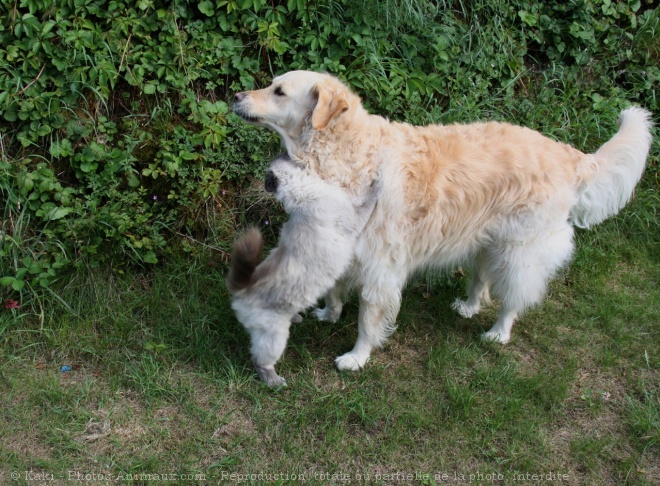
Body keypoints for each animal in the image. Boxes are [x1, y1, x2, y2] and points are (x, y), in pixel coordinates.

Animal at [229, 154, 378, 386]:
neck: (303, 196)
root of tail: (244, 287)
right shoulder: (355, 218)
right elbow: (370, 197)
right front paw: (378, 179)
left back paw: (297, 318)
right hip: (275, 339)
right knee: (260, 361)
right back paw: (276, 382)